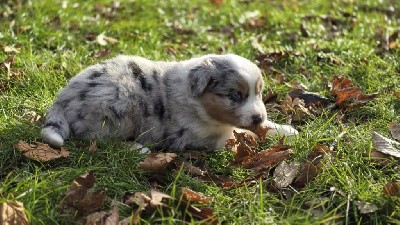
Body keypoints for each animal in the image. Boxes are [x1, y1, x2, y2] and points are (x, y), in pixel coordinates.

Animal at [43, 53, 296, 150]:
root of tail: (63, 97)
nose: (258, 117)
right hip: (119, 108)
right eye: (235, 95)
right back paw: (138, 149)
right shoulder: (188, 135)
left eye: (259, 93)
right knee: (99, 140)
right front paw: (249, 137)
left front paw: (285, 130)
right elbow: (228, 137)